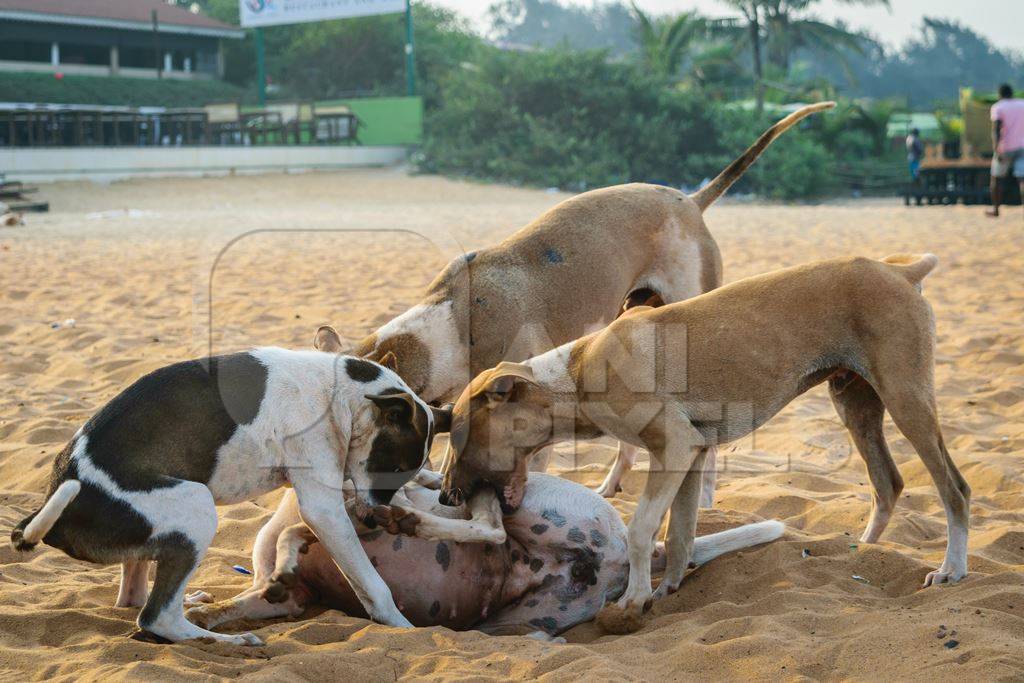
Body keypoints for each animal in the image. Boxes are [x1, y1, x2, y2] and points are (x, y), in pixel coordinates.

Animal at [8, 350, 448, 643]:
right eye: (392, 466)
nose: (375, 518)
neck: (339, 393)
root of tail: (57, 503)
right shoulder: (324, 508)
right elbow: (374, 586)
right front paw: (403, 627)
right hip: (197, 509)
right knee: (155, 618)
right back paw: (228, 639)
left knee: (134, 599)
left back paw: (193, 605)